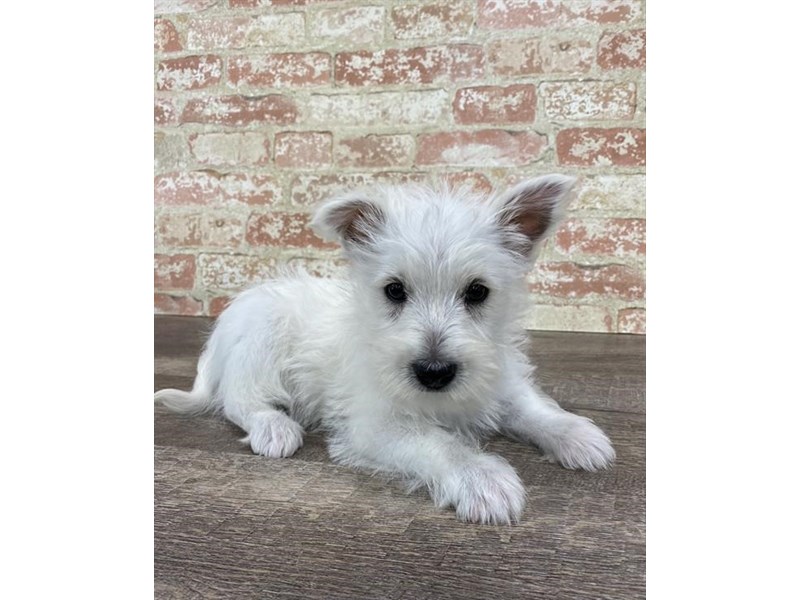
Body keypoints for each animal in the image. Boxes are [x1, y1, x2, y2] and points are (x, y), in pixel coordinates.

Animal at [158, 176, 620, 524]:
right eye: (394, 291)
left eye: (477, 292)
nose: (434, 371)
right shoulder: (375, 424)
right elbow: (439, 443)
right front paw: (481, 478)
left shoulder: (498, 377)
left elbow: (531, 407)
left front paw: (576, 434)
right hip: (261, 342)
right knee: (239, 401)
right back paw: (274, 426)